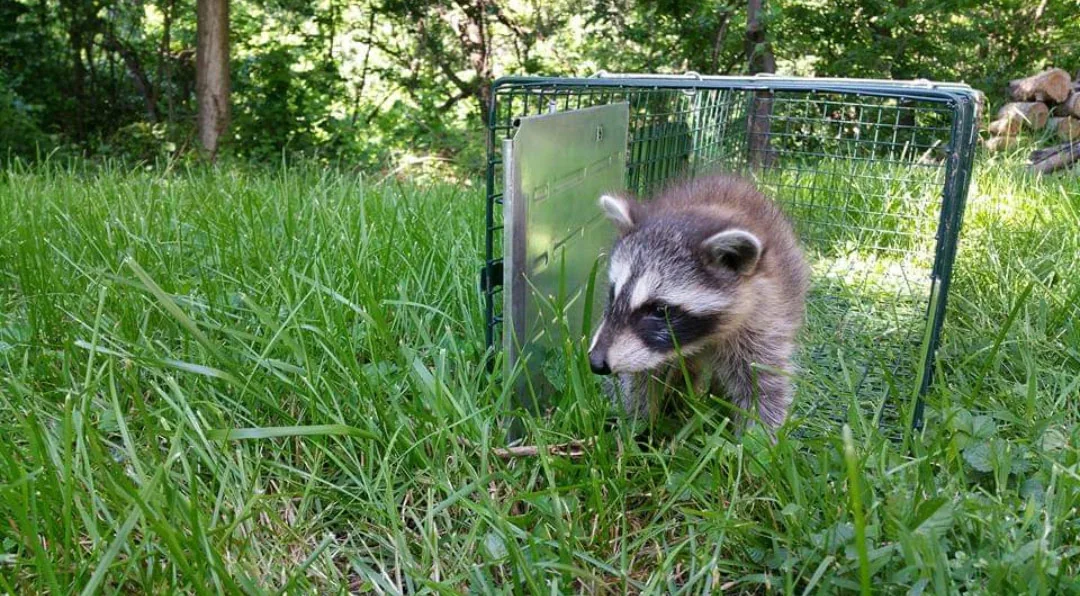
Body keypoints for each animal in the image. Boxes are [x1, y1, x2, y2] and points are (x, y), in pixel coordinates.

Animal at [588, 174, 810, 430]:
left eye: (659, 309)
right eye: (613, 294)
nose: (595, 362)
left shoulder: (766, 319)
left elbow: (762, 388)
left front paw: (759, 436)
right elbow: (643, 380)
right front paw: (638, 426)